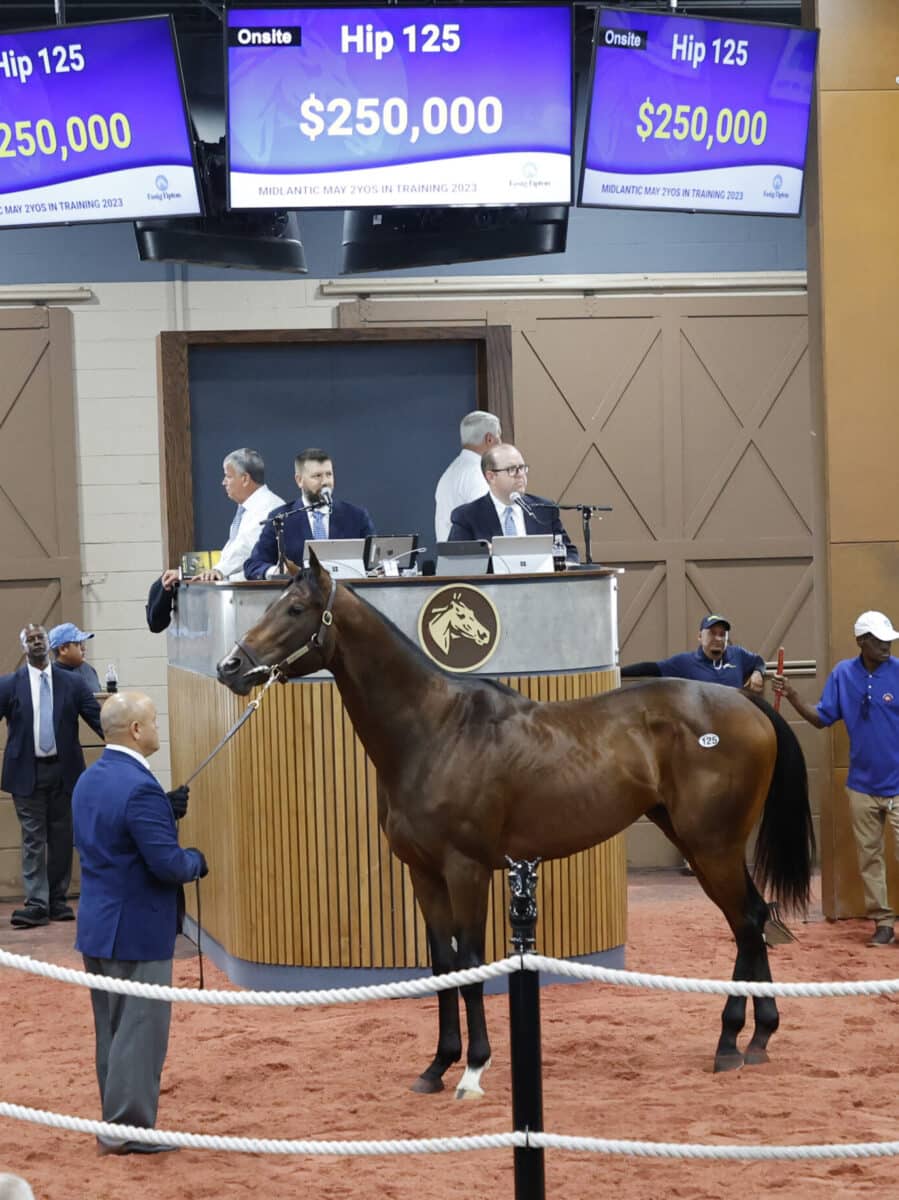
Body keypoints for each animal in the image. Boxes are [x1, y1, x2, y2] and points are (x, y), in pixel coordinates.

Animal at [217, 556, 811, 1094]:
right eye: (268, 603)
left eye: (294, 609)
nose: (230, 666)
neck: (435, 731)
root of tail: (745, 702)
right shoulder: (423, 873)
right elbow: (443, 964)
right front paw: (437, 1065)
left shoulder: (467, 869)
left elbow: (472, 961)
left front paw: (474, 1067)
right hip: (701, 844)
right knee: (751, 918)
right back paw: (756, 1039)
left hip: (712, 846)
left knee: (747, 922)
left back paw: (731, 1042)